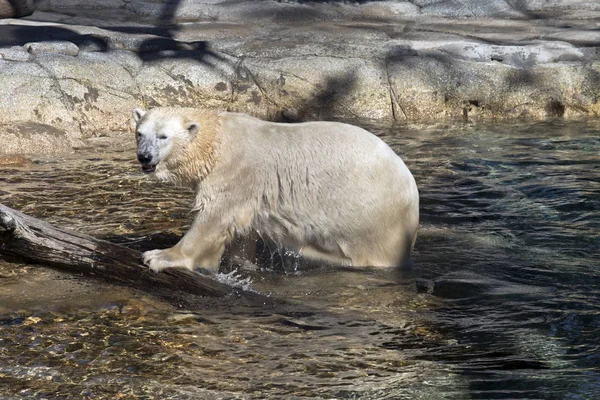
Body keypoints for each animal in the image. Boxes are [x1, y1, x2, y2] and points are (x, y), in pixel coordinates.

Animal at [134, 107, 420, 272]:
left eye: (163, 136)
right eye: (140, 133)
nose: (144, 157)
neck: (217, 141)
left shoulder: (236, 171)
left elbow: (214, 217)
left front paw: (159, 256)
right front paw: (242, 261)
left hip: (373, 218)